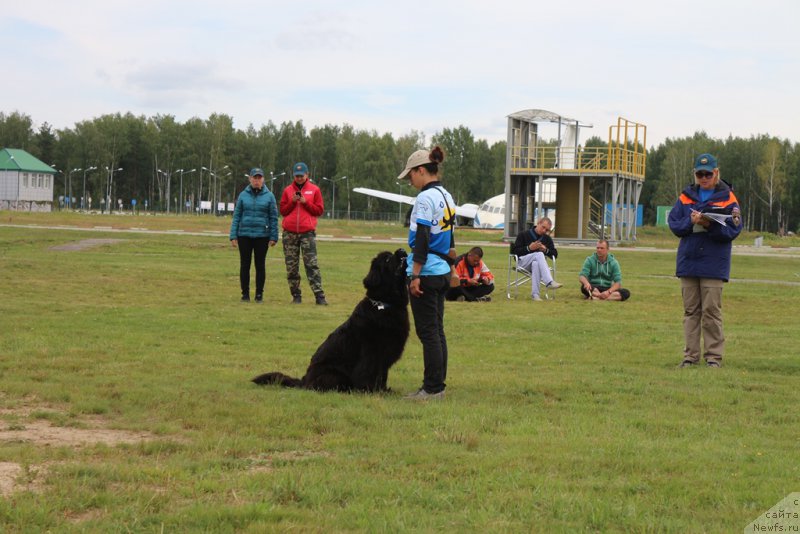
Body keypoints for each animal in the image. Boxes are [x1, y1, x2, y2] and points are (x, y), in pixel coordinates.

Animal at [253, 250, 410, 394]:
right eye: (388, 259)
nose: (402, 251)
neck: (384, 304)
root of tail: (304, 381)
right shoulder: (371, 351)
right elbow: (368, 372)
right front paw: (369, 390)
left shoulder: (384, 356)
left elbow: (382, 375)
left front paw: (384, 391)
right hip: (333, 374)